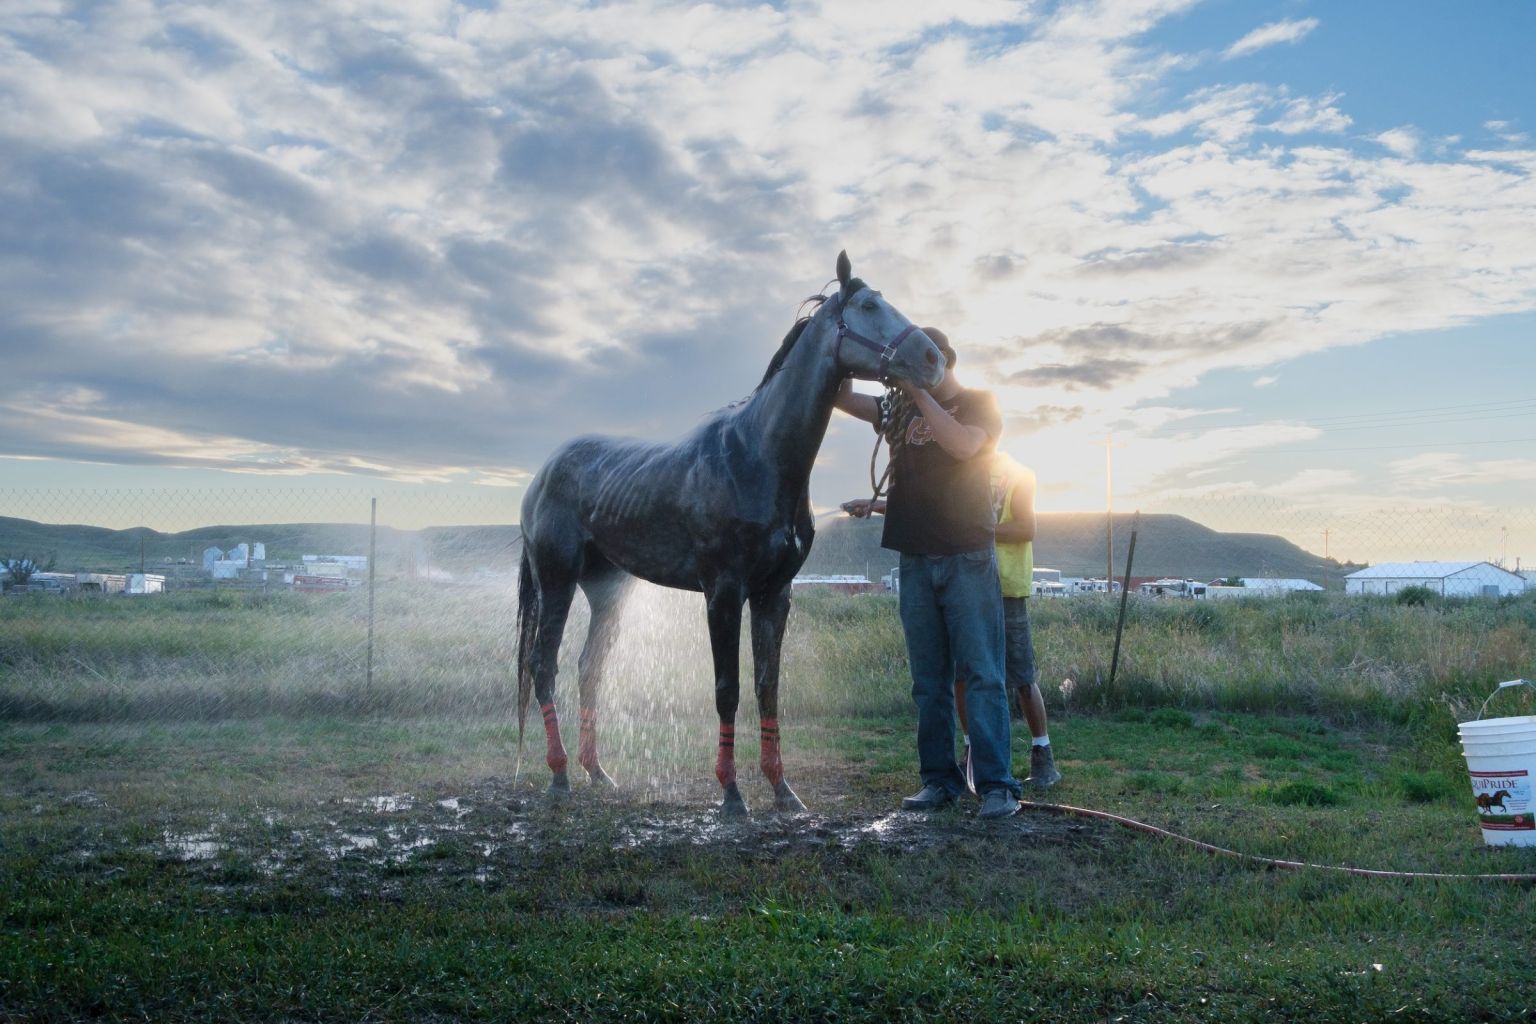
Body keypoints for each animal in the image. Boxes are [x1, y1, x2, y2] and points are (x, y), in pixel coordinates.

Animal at [522, 254, 940, 816]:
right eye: (870, 306)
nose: (936, 358)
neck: (758, 455)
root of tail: (544, 473)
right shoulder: (723, 593)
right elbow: (728, 690)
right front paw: (731, 793)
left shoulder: (774, 595)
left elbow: (767, 688)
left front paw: (783, 790)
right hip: (556, 582)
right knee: (544, 667)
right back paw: (561, 773)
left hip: (607, 590)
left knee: (591, 669)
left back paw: (597, 772)